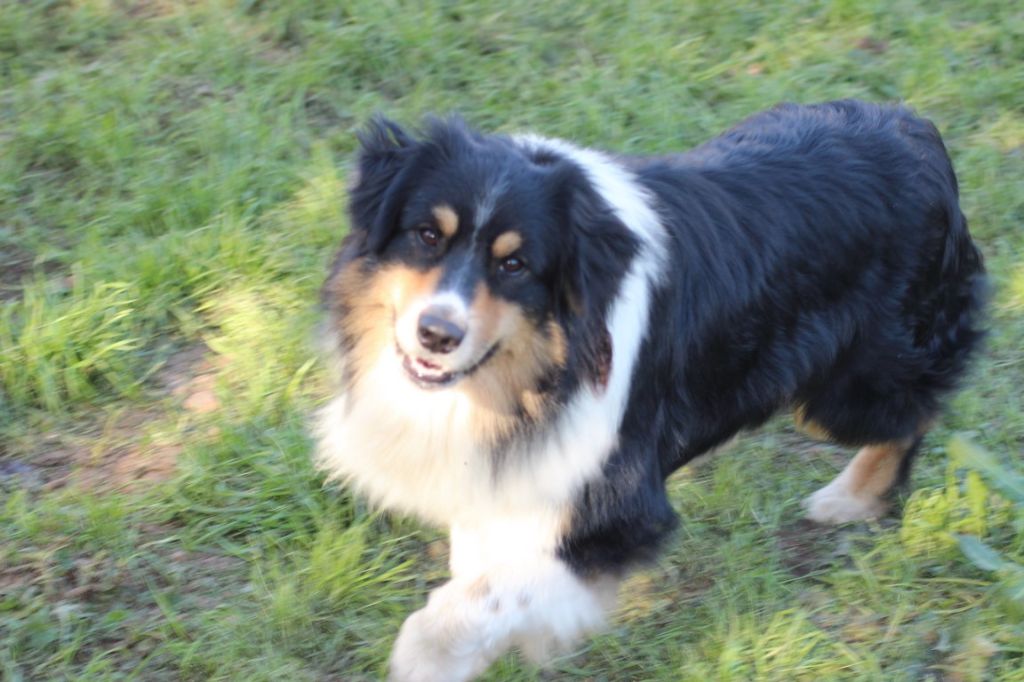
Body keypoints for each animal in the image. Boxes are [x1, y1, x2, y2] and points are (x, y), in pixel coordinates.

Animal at [315, 98, 987, 675]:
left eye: (515, 264)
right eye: (427, 235)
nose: (436, 334)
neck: (541, 374)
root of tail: (915, 127)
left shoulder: (618, 504)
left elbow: (477, 603)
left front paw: (433, 658)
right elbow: (481, 572)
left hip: (853, 383)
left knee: (916, 413)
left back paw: (851, 498)